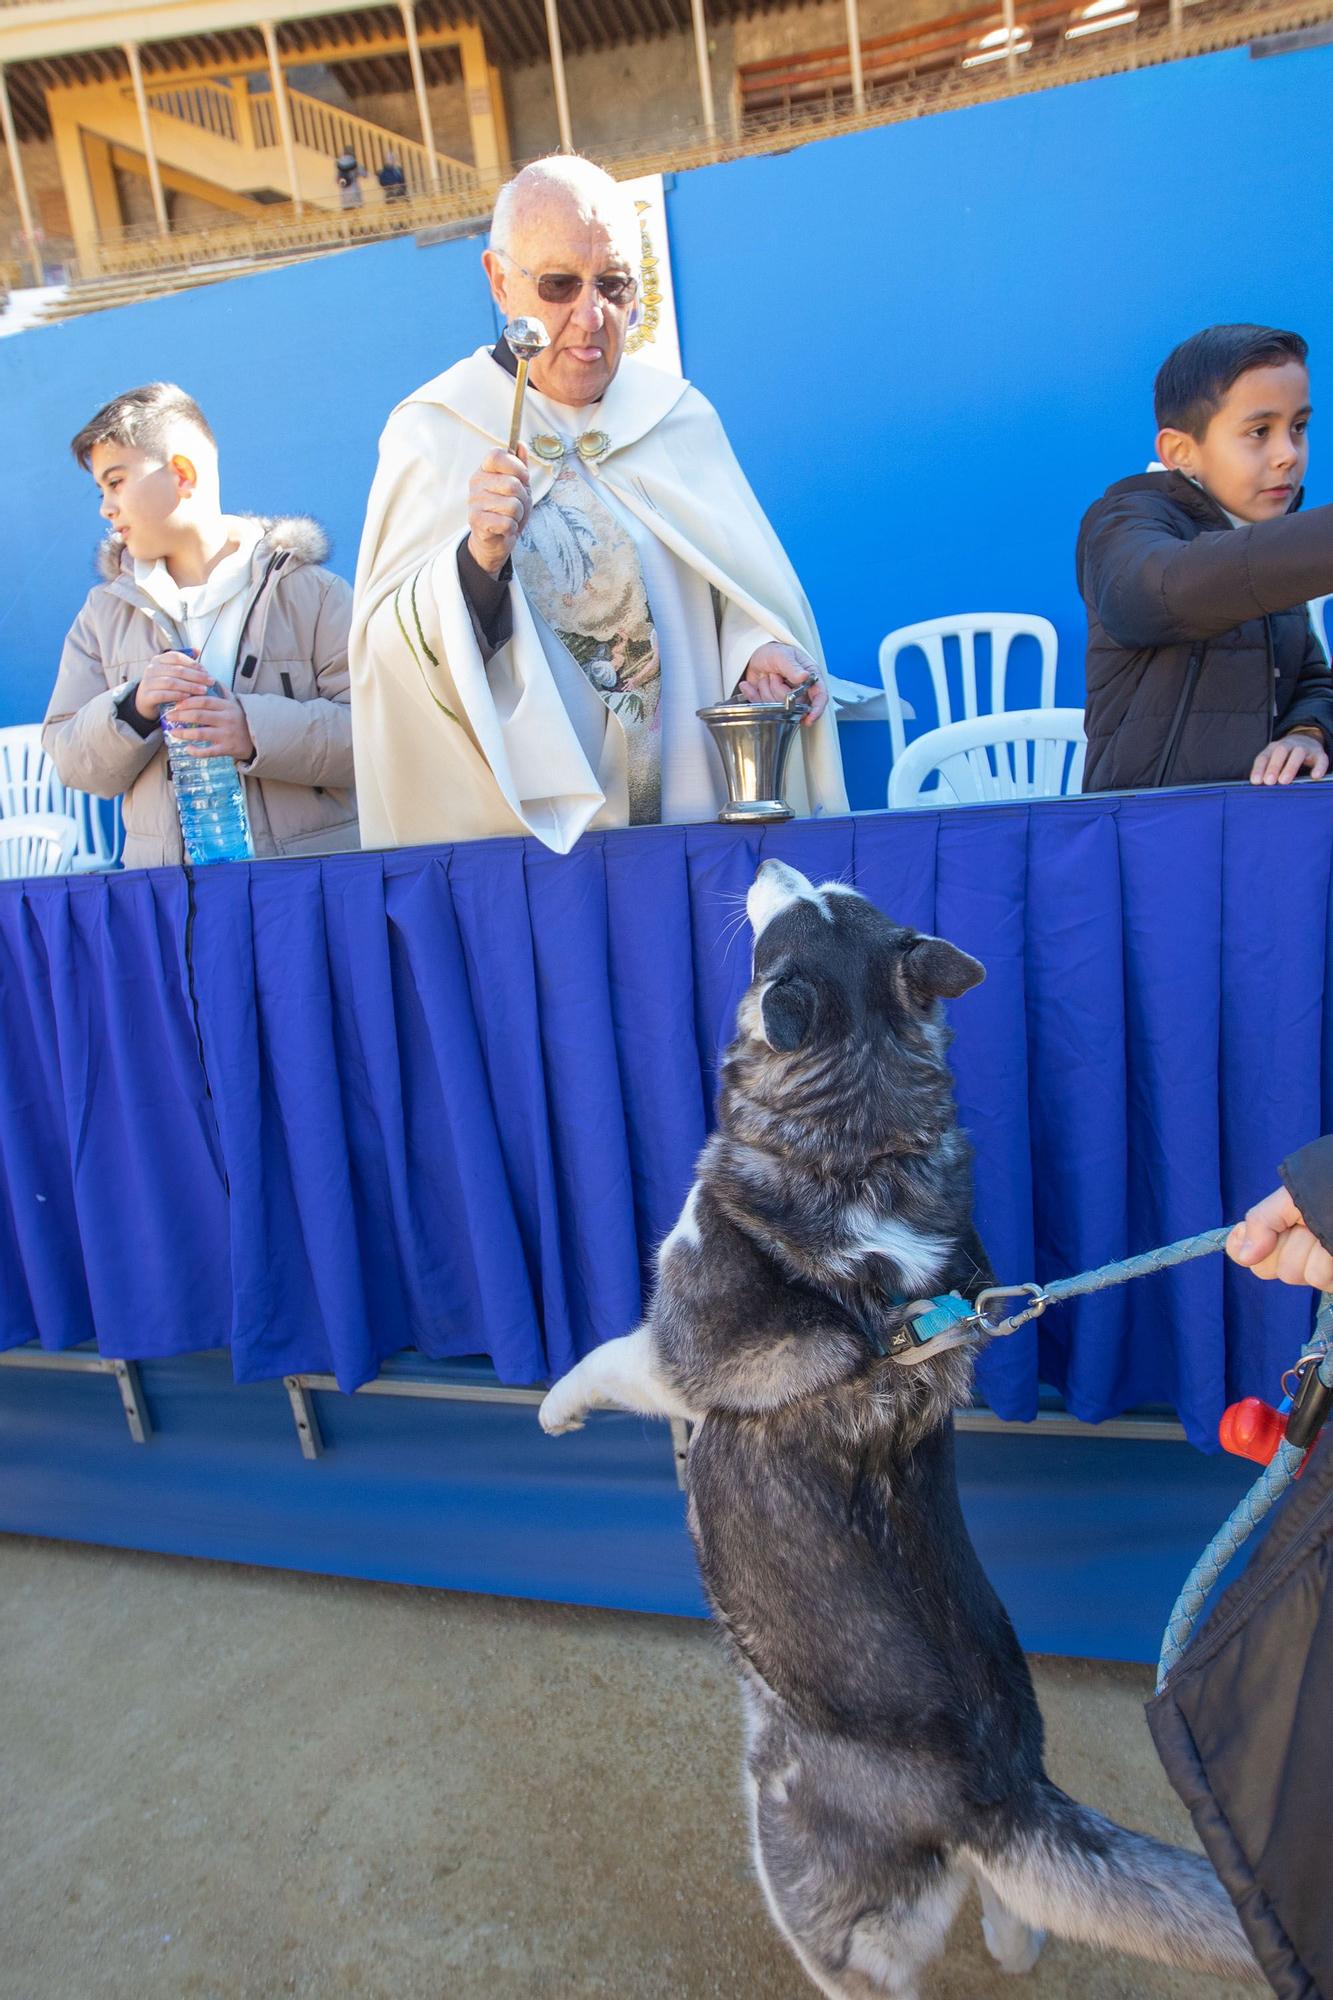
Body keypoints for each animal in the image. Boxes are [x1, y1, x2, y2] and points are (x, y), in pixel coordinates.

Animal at [536, 864, 1248, 2000]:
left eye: (783, 921)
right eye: (837, 888)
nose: (769, 853)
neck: (860, 1135)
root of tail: (997, 1794)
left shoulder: (675, 1348)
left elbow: (605, 1354)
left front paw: (556, 1405)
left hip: (794, 1865)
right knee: (1020, 1910)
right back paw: (1012, 1937)